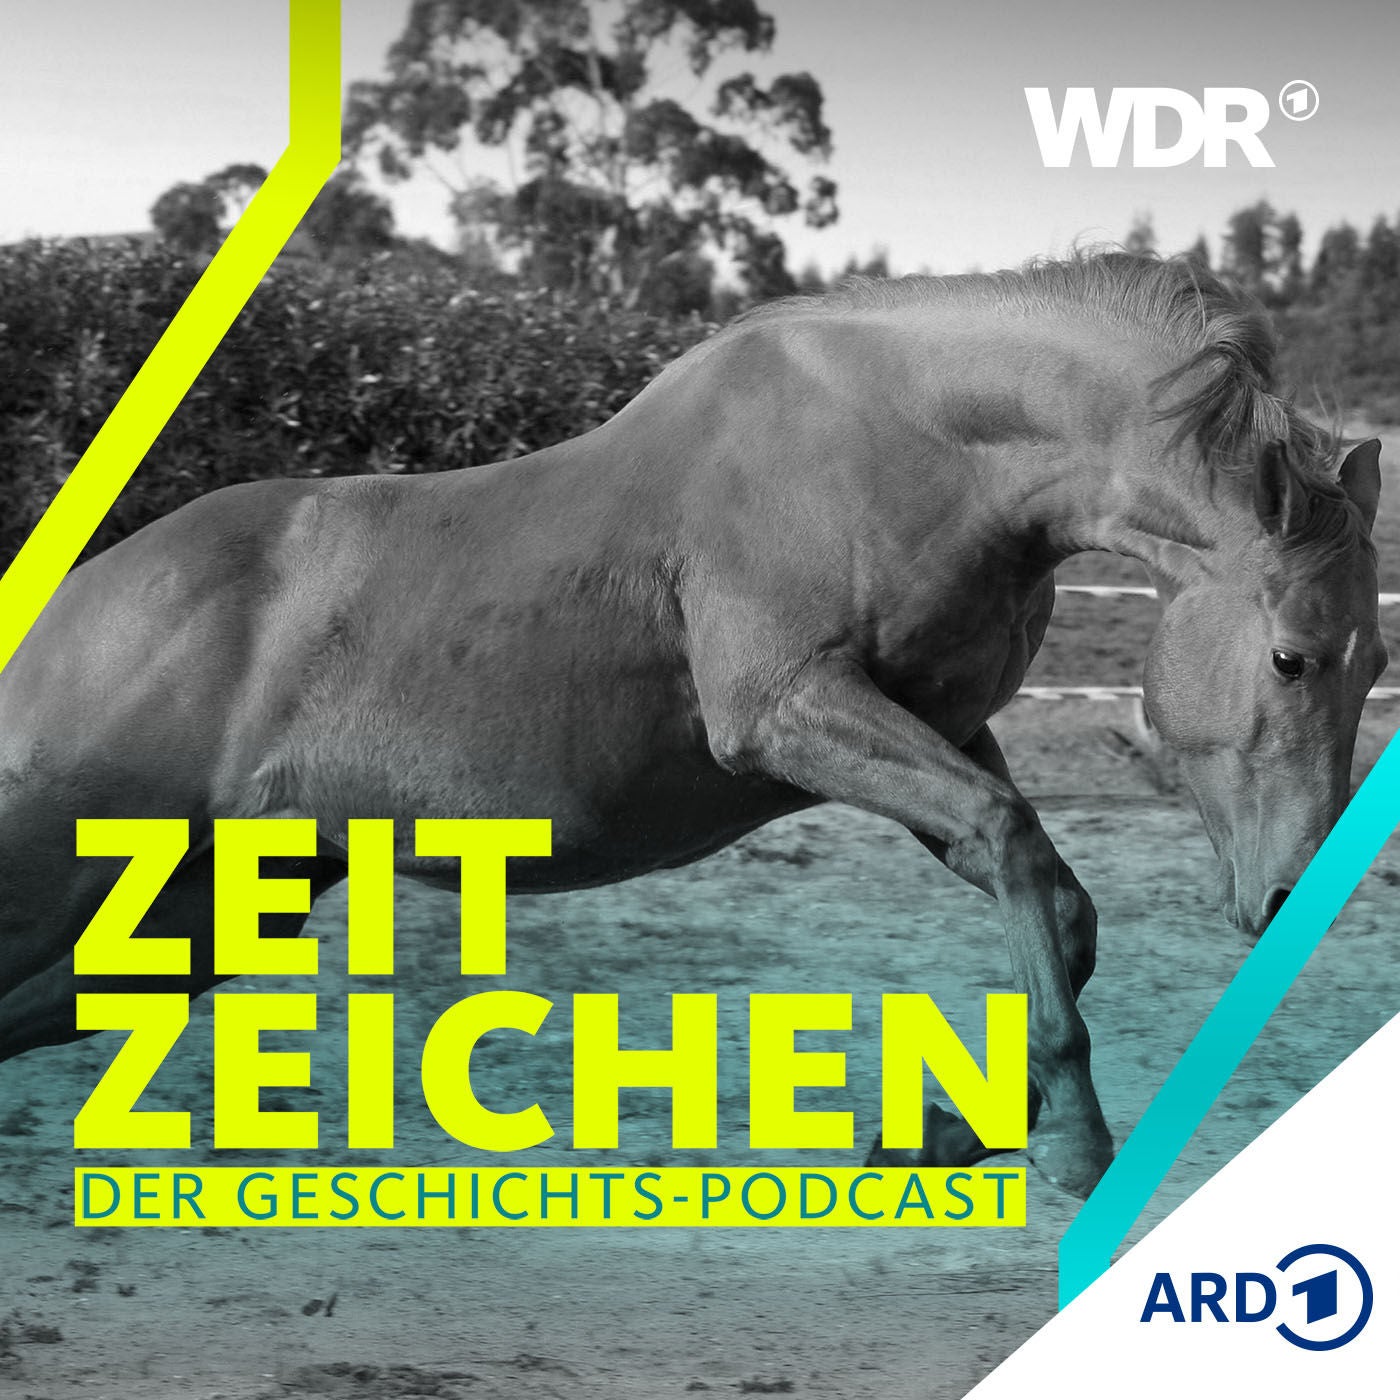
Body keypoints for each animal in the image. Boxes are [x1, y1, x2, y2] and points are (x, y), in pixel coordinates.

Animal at [0, 252, 1384, 1199]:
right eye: (1289, 656)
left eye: (1374, 663)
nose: (1286, 899)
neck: (915, 447)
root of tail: (67, 610)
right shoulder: (785, 711)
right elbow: (1017, 853)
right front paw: (1069, 1143)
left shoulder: (934, 724)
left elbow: (1050, 892)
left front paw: (947, 1128)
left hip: (183, 921)